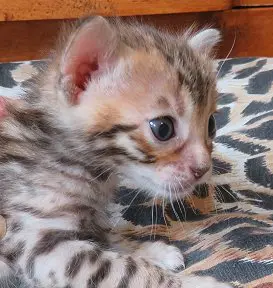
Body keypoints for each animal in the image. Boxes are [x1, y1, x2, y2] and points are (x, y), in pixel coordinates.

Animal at [0, 16, 230, 288]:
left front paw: (147, 250)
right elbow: (124, 270)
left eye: (211, 125)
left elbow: (109, 239)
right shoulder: (38, 241)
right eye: (163, 128)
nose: (203, 168)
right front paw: (192, 283)